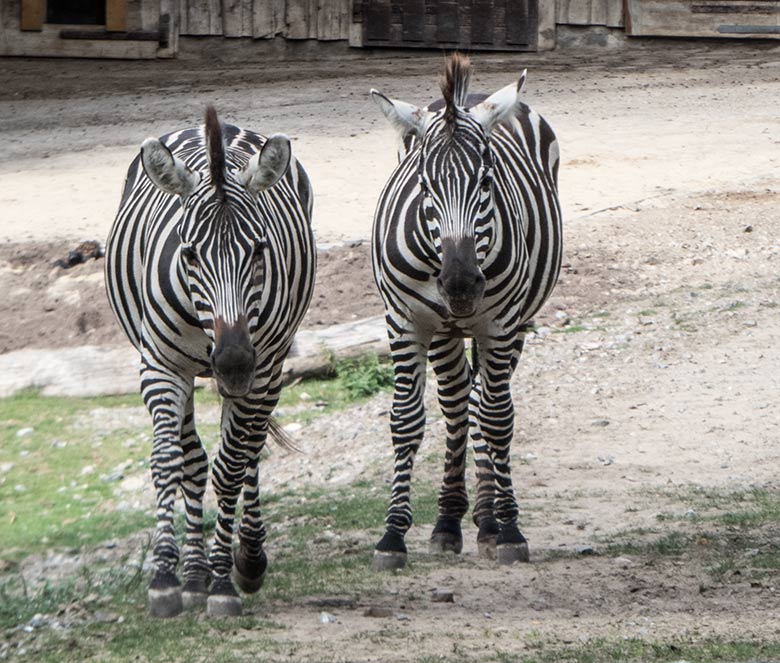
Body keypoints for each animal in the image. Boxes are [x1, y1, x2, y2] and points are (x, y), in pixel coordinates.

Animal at [104, 106, 316, 620]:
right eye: (189, 254)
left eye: (259, 250)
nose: (234, 363)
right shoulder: (160, 367)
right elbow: (169, 463)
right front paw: (166, 577)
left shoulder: (261, 370)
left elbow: (232, 468)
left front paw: (224, 579)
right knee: (196, 460)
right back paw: (194, 574)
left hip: (271, 367)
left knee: (248, 452)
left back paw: (248, 559)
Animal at [370, 54, 560, 572]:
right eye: (423, 185)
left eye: (487, 181)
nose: (459, 284)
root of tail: (469, 97)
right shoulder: (405, 321)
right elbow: (405, 420)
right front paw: (392, 535)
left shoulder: (500, 322)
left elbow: (497, 419)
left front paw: (509, 529)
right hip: (445, 330)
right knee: (457, 404)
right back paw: (449, 521)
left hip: (513, 323)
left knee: (481, 403)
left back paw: (488, 520)